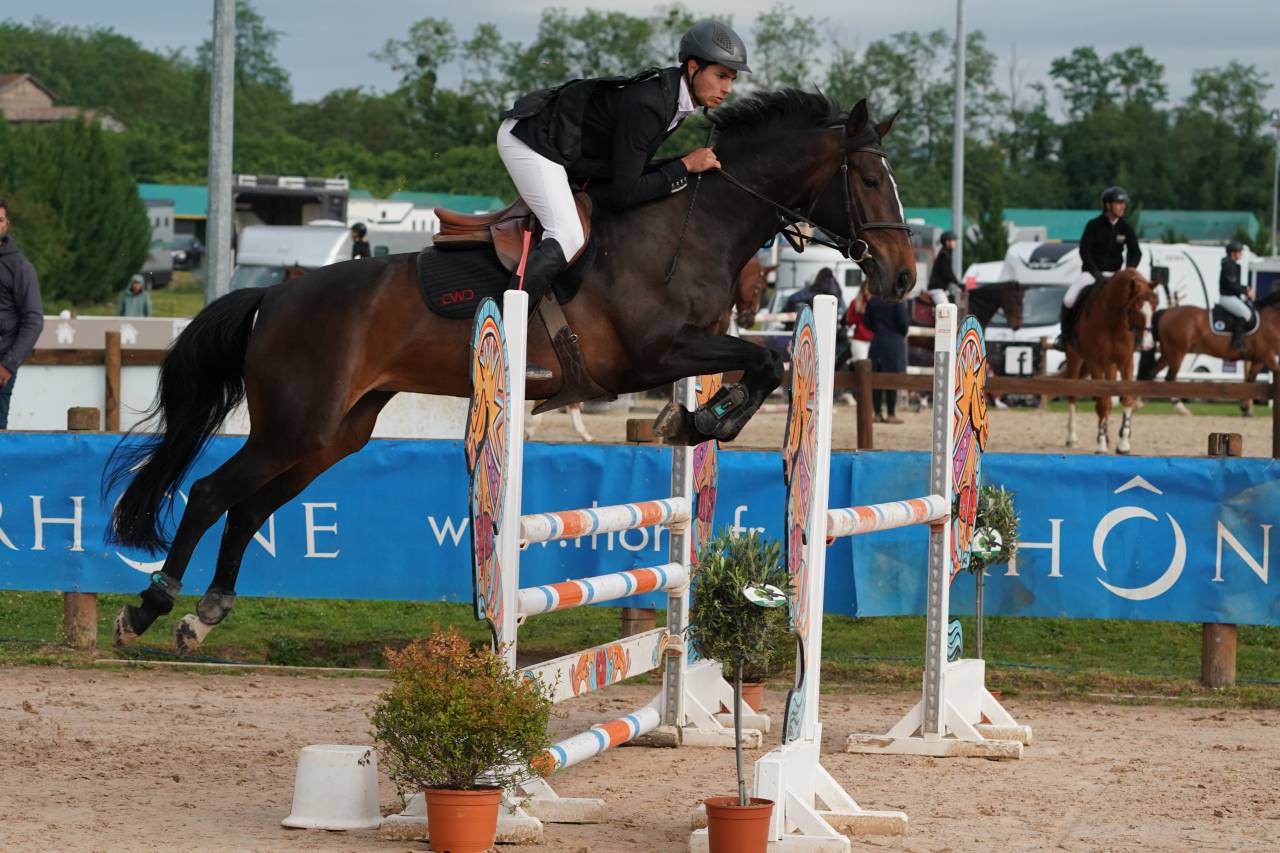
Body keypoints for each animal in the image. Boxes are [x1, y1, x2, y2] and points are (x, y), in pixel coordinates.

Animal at [105, 90, 918, 649]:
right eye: (869, 180)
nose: (905, 278)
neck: (692, 226)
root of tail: (276, 294)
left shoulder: (687, 347)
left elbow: (766, 361)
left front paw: (695, 419)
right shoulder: (657, 352)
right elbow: (767, 357)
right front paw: (701, 417)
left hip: (333, 435)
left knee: (248, 508)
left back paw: (204, 616)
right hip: (294, 426)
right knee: (211, 494)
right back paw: (150, 607)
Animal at [1063, 269, 1157, 454]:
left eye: (1154, 307)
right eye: (1135, 308)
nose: (1148, 345)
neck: (1114, 321)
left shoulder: (1126, 362)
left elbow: (1126, 399)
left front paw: (1123, 444)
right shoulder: (1096, 364)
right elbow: (1102, 403)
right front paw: (1101, 445)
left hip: (1111, 366)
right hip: (1075, 357)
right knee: (1073, 395)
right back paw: (1072, 438)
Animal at [1137, 291, 1280, 416]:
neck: (1271, 319)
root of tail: (1167, 312)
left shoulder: (1258, 359)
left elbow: (1250, 381)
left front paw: (1245, 408)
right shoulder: (1266, 355)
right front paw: (1245, 408)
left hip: (1168, 352)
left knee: (1152, 373)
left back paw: (1141, 401)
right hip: (1177, 352)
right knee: (1170, 378)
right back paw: (1181, 409)